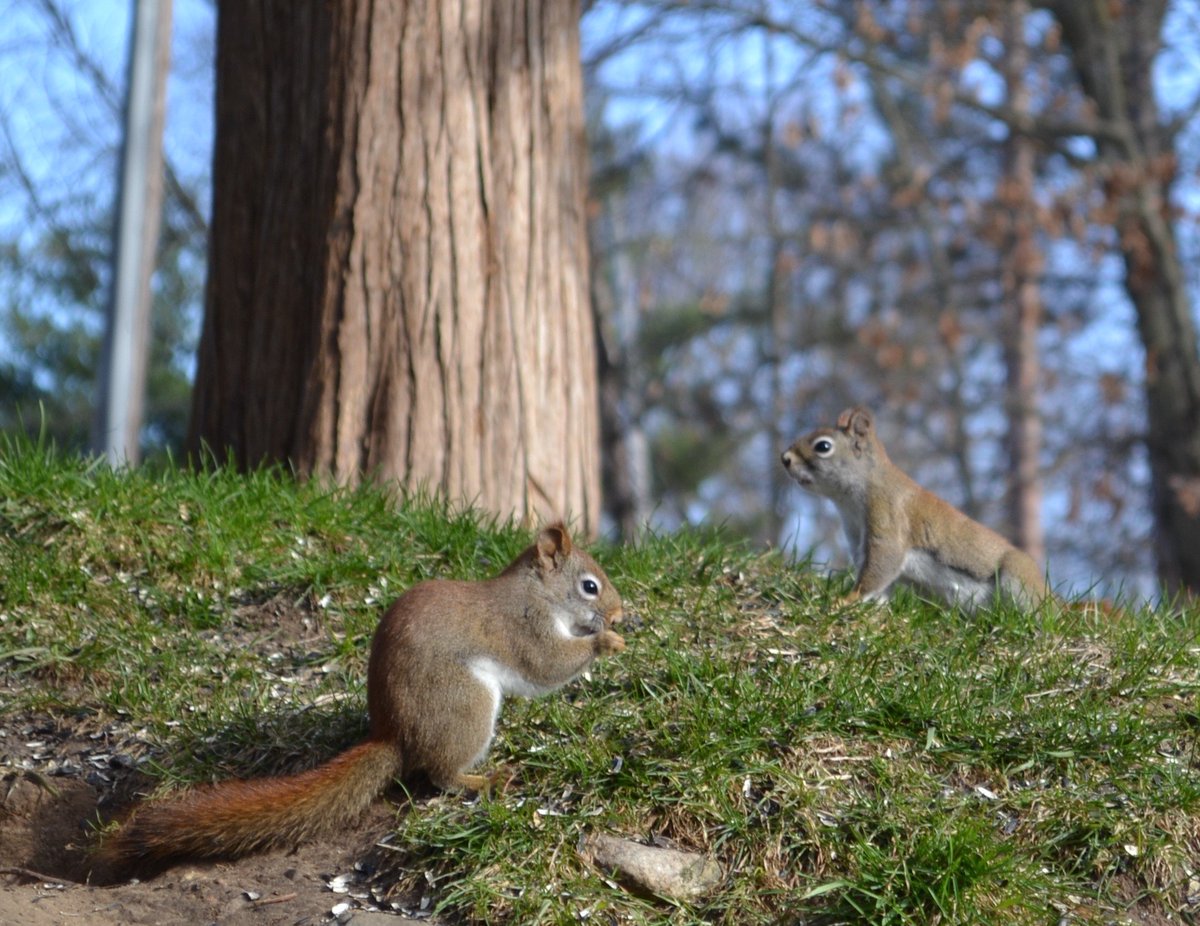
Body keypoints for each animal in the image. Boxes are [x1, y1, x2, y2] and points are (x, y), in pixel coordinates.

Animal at [99, 523, 625, 869]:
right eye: (589, 586)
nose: (620, 613)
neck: (539, 593)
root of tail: (394, 735)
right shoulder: (524, 626)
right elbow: (547, 664)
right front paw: (606, 642)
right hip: (466, 706)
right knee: (440, 775)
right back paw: (486, 779)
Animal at [781, 406, 1052, 612]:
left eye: (823, 446)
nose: (785, 459)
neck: (850, 501)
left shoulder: (888, 518)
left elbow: (882, 566)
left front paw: (845, 600)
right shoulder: (858, 538)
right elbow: (880, 585)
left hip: (1017, 578)